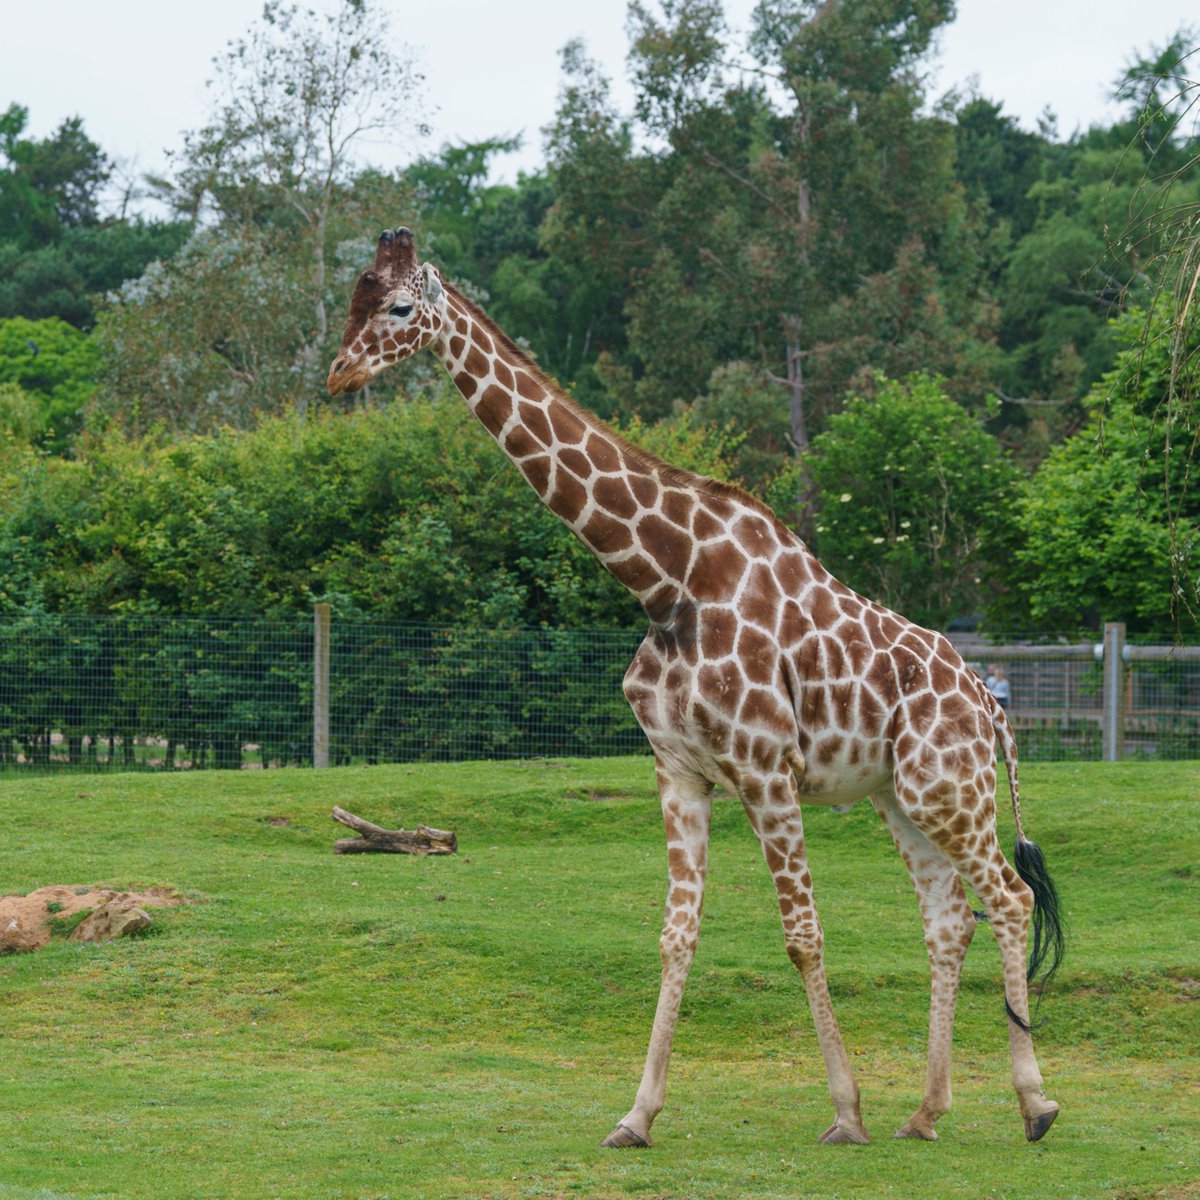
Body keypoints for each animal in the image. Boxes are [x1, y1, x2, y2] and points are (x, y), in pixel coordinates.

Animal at [328, 227, 1066, 1147]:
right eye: (349, 298)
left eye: (397, 306)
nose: (339, 376)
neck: (663, 578)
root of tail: (990, 704)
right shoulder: (678, 769)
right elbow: (676, 934)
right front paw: (636, 1115)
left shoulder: (765, 768)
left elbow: (802, 935)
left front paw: (845, 1112)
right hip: (898, 794)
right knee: (948, 915)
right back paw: (927, 1111)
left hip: (948, 786)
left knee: (1007, 895)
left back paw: (1036, 1104)